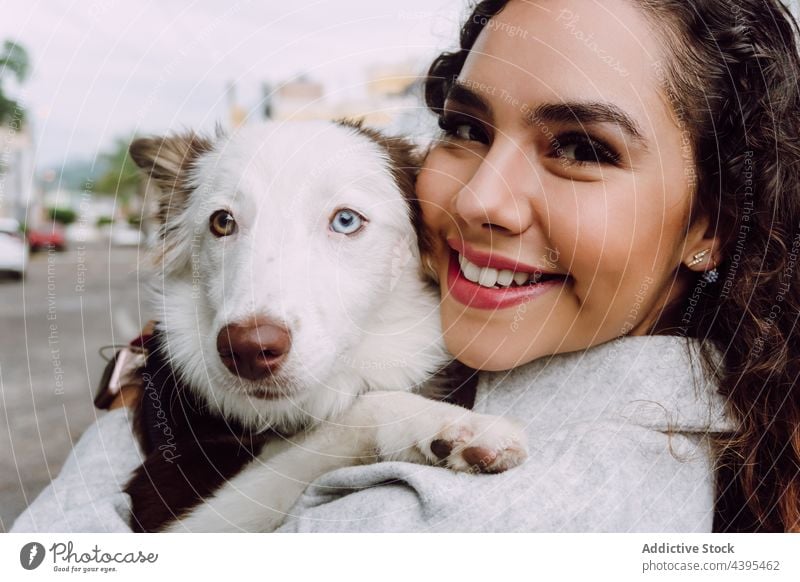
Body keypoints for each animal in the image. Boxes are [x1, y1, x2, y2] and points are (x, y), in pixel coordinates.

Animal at [123, 122, 524, 532]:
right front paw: (451, 424)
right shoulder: (166, 501)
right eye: (222, 221)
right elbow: (359, 411)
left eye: (346, 220)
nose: (247, 350)